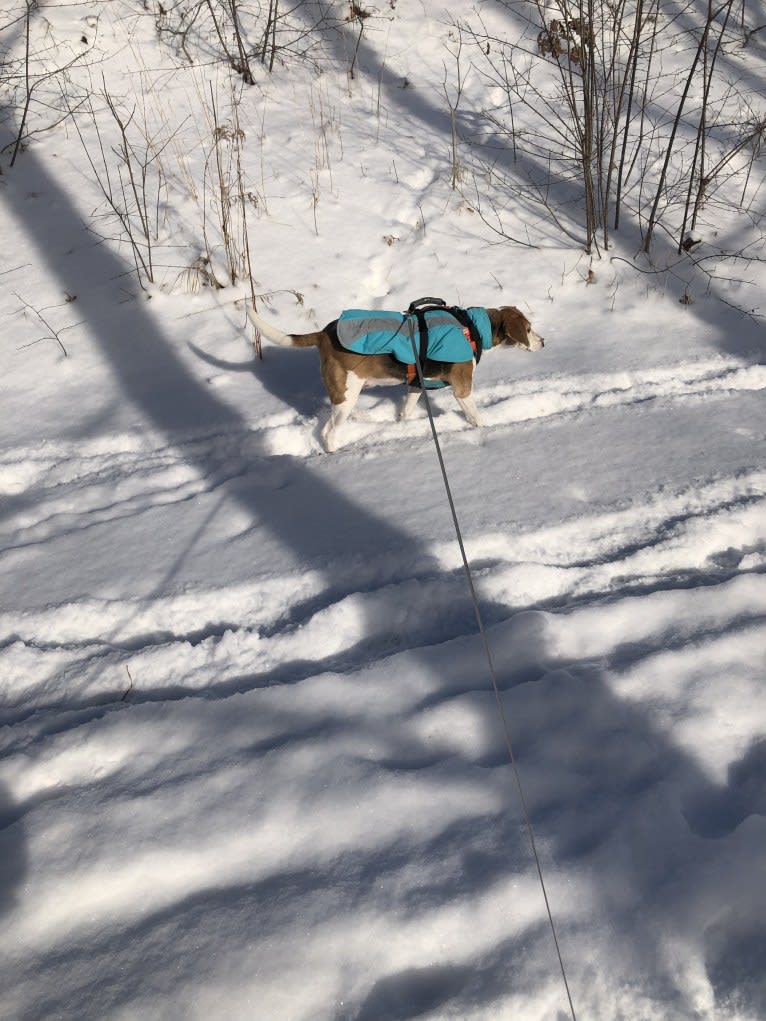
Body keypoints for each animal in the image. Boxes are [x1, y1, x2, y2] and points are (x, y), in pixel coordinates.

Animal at [247, 300, 547, 449]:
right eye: (528, 329)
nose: (544, 342)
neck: (471, 328)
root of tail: (324, 333)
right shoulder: (463, 389)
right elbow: (476, 417)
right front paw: (487, 428)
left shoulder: (416, 384)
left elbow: (406, 411)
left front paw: (402, 424)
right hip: (346, 394)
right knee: (329, 431)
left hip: (346, 395)